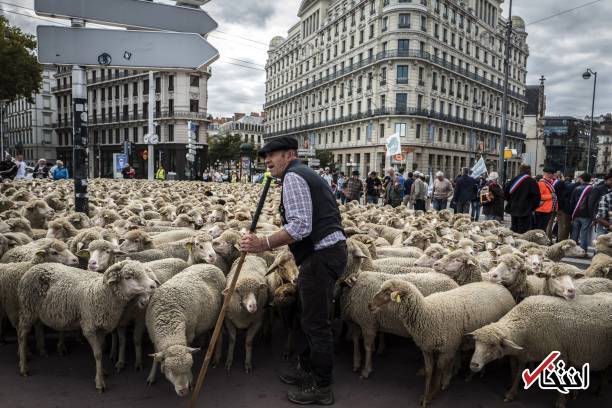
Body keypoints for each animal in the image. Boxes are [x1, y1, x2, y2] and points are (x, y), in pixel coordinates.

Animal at [17, 262, 158, 392]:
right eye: (128, 277)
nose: (153, 285)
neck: (101, 293)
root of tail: (34, 267)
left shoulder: (101, 329)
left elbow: (101, 349)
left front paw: (102, 371)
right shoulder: (89, 328)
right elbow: (98, 354)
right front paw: (100, 382)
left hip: (35, 312)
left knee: (35, 327)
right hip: (27, 309)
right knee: (22, 335)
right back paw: (23, 367)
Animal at [146, 264, 227, 396]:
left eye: (189, 367)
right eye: (171, 371)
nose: (184, 391)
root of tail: (211, 265)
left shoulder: (188, 334)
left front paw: (191, 380)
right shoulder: (154, 337)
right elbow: (155, 357)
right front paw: (151, 377)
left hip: (219, 314)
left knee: (219, 335)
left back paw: (216, 358)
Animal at [368, 278, 516, 406]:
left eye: (387, 292)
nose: (369, 305)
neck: (427, 313)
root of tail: (500, 285)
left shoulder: (446, 349)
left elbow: (438, 371)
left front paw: (431, 394)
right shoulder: (427, 348)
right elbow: (429, 371)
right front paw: (425, 395)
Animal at [468, 294, 612, 406]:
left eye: (492, 345)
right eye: (476, 343)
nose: (474, 364)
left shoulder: (559, 355)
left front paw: (560, 402)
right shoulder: (525, 352)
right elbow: (519, 372)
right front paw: (511, 393)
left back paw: (599, 391)